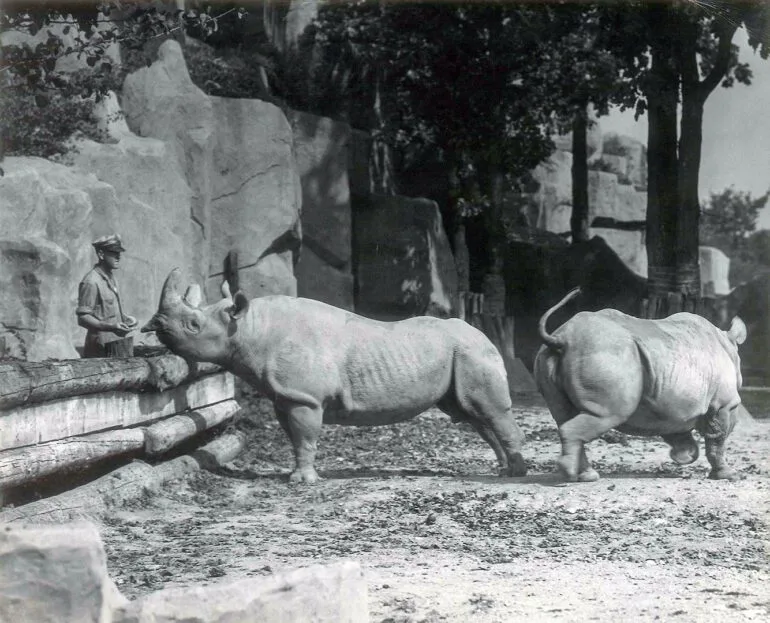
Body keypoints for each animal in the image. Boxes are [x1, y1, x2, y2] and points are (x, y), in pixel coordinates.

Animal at [142, 269, 527, 483]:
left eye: (193, 325)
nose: (153, 325)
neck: (249, 328)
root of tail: (484, 335)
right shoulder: (285, 397)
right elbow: (295, 438)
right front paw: (296, 475)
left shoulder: (305, 398)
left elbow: (306, 437)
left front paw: (303, 482)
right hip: (461, 356)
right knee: (471, 415)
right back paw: (502, 470)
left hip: (473, 353)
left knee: (488, 411)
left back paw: (516, 474)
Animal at [534, 287, 747, 482]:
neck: (727, 343)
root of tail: (561, 339)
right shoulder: (724, 404)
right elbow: (717, 439)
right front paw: (727, 475)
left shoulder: (671, 405)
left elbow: (679, 430)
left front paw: (684, 455)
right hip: (606, 353)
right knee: (608, 414)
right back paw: (570, 476)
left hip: (554, 355)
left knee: (564, 415)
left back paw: (586, 475)